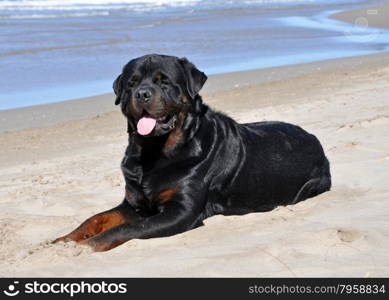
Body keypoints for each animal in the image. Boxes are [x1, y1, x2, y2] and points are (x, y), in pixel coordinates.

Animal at [53, 54, 330, 251]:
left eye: (164, 81)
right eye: (131, 83)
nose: (142, 93)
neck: (153, 153)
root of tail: (315, 140)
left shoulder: (180, 211)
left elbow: (129, 227)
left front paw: (86, 246)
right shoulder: (134, 203)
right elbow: (95, 218)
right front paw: (63, 241)